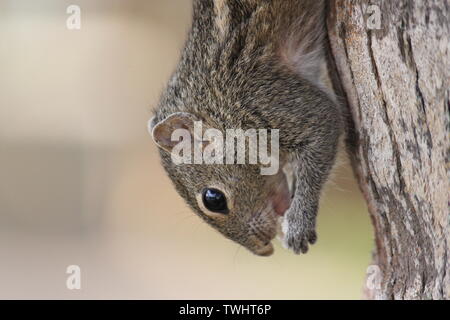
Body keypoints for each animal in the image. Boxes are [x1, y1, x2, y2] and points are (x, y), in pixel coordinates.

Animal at [148, 0, 344, 255]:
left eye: (214, 199)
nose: (263, 250)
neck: (218, 106)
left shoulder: (264, 98)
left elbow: (323, 125)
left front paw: (299, 224)